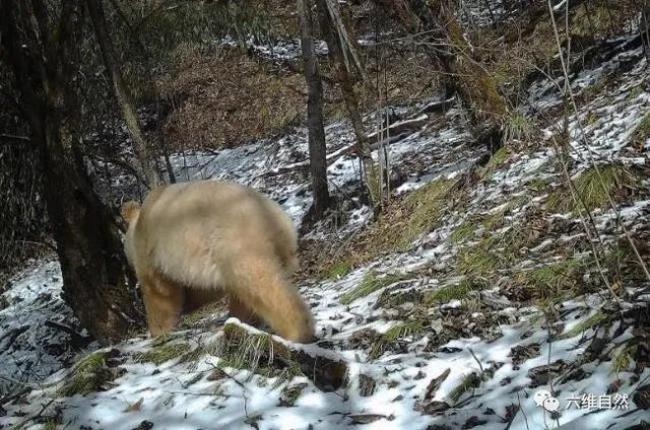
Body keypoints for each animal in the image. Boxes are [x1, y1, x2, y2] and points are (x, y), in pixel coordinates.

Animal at [123, 181, 316, 342]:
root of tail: (277, 218)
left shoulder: (150, 248)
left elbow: (160, 292)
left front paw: (158, 331)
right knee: (244, 291)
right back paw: (239, 320)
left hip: (236, 239)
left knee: (259, 282)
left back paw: (296, 332)